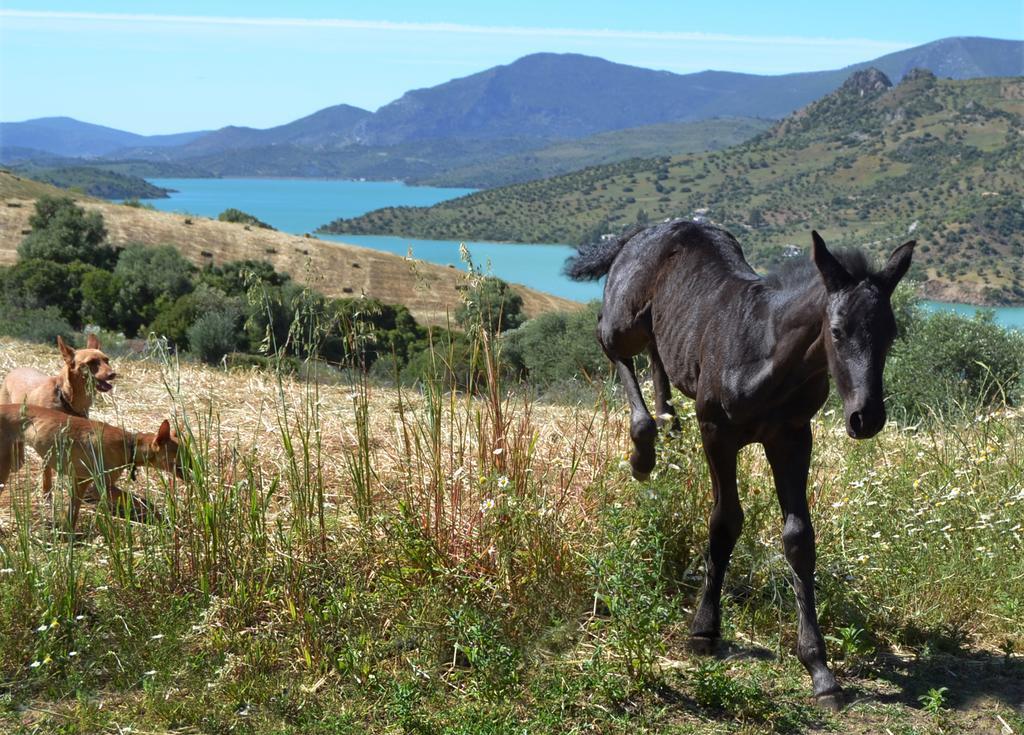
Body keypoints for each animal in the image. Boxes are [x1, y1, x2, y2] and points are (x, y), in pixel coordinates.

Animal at [0, 405, 182, 532]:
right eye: (179, 458)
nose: (190, 474)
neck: (129, 445)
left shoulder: (81, 482)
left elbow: (73, 511)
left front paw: (67, 533)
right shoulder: (101, 487)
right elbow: (143, 501)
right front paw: (160, 516)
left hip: (16, 461)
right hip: (6, 468)